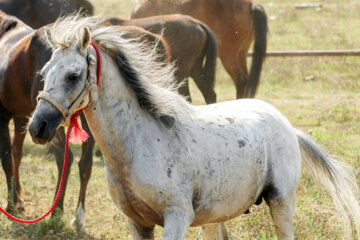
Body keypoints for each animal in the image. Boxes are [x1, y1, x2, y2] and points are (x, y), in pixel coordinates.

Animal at [0, 10, 94, 229]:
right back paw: (79, 217)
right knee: (85, 162)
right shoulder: (22, 118)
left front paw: (11, 205)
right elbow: (17, 155)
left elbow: (7, 159)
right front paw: (18, 199)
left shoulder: (3, 117)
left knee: (65, 159)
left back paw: (56, 212)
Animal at [28, 15, 360, 239]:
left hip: (281, 201)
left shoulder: (177, 217)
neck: (138, 142)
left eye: (73, 75)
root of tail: (289, 127)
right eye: (44, 72)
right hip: (216, 215)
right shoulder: (137, 223)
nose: (37, 127)